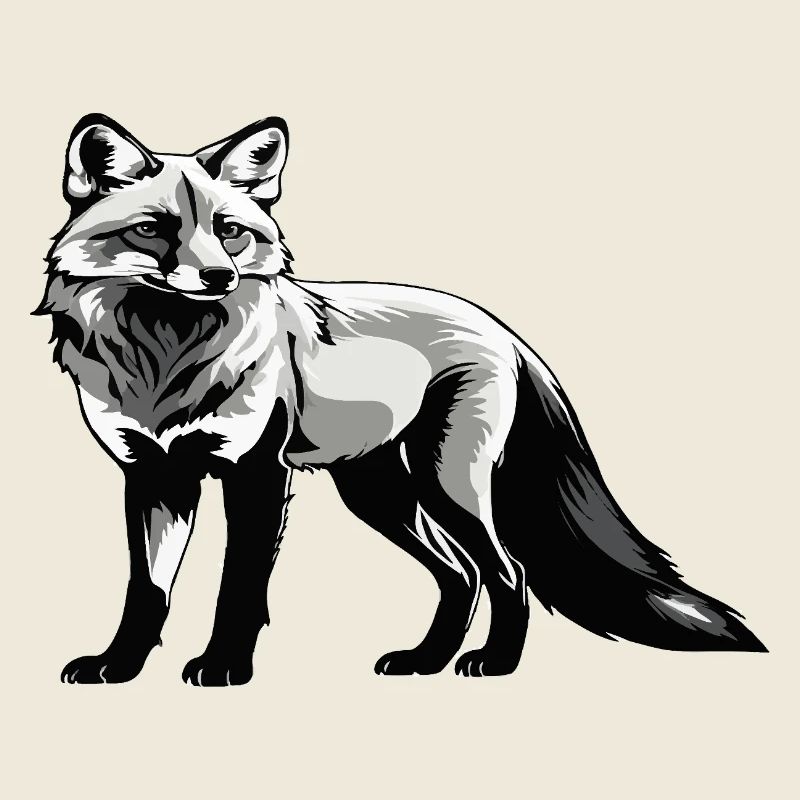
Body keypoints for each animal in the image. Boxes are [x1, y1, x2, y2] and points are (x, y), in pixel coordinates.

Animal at [36, 113, 766, 685]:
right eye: (152, 230)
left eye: (231, 231)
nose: (221, 276)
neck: (165, 359)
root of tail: (503, 330)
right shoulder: (153, 476)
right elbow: (147, 591)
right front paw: (119, 666)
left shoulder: (255, 474)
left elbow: (237, 585)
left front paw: (223, 667)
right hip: (381, 494)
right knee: (461, 576)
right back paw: (425, 661)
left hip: (448, 486)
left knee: (507, 572)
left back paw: (494, 664)